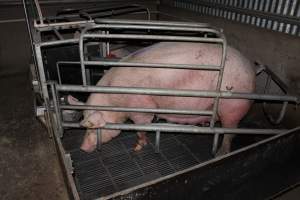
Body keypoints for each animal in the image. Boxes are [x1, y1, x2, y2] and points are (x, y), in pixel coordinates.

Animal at [68, 41, 255, 155]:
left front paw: (138, 147)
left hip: (233, 105)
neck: (115, 102)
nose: (82, 148)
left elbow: (142, 128)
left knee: (230, 132)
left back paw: (220, 154)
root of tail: (251, 71)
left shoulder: (142, 108)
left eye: (92, 128)